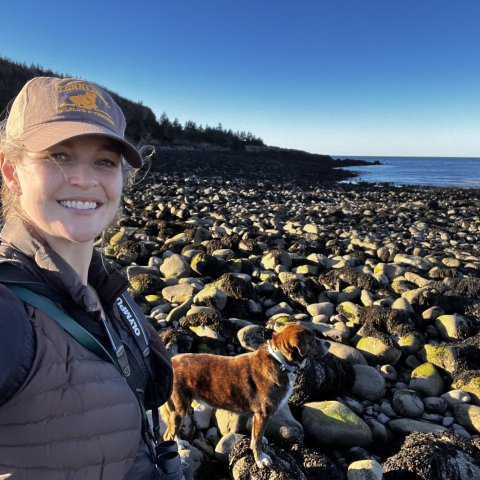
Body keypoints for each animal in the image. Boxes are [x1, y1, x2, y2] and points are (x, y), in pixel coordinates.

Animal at [161, 322, 330, 468]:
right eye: (312, 339)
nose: (328, 343)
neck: (279, 360)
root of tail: (171, 361)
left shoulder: (257, 415)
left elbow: (256, 435)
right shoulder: (263, 414)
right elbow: (256, 441)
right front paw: (260, 460)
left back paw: (180, 444)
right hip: (179, 407)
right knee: (167, 435)